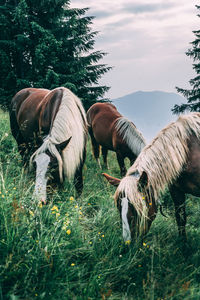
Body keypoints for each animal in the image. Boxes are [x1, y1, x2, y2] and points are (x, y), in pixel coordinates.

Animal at [103, 112, 200, 244]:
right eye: (119, 207)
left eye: (136, 209)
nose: (128, 243)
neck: (188, 152)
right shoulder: (176, 191)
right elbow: (181, 219)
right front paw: (183, 244)